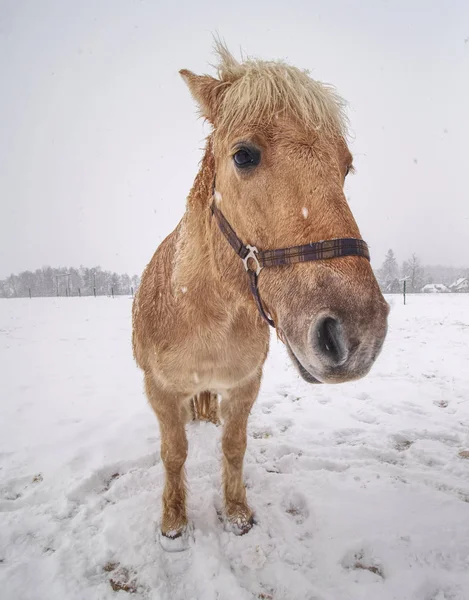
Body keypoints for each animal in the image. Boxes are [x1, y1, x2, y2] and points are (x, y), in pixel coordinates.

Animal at [131, 42, 388, 548]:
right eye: (244, 155)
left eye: (345, 165)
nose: (358, 335)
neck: (205, 313)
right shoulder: (161, 391)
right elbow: (174, 453)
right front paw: (173, 522)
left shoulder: (244, 385)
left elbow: (234, 447)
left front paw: (237, 514)